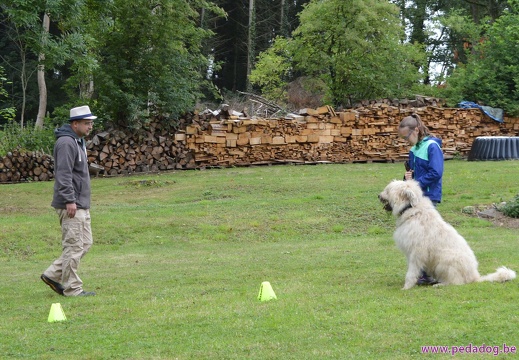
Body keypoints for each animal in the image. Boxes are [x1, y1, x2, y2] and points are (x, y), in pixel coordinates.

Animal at [378, 180, 516, 290]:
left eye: (388, 190)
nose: (378, 195)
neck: (411, 209)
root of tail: (474, 276)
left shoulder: (417, 253)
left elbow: (411, 272)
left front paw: (406, 287)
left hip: (445, 260)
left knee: (457, 282)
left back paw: (440, 284)